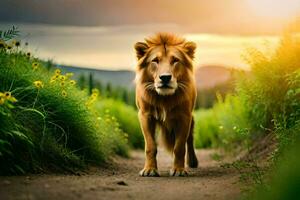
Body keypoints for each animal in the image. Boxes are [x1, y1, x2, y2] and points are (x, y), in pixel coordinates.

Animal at [135, 32, 198, 177]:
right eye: (155, 60)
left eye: (175, 60)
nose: (165, 77)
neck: (164, 98)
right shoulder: (145, 115)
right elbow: (150, 146)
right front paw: (149, 170)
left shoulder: (184, 116)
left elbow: (179, 147)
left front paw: (179, 170)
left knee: (190, 139)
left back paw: (192, 162)